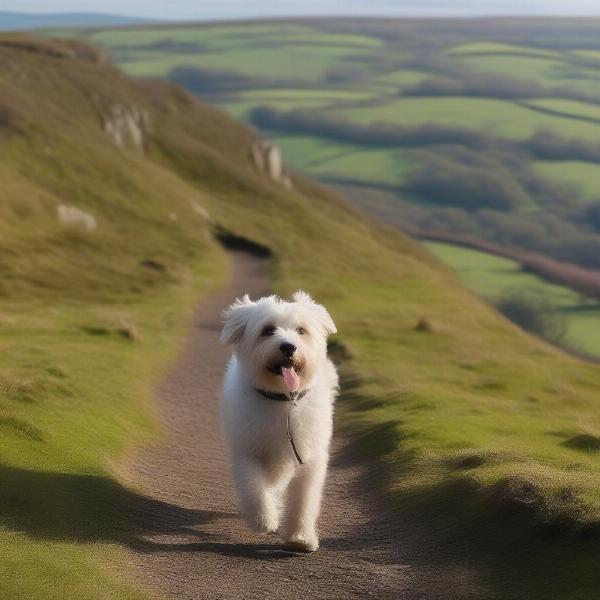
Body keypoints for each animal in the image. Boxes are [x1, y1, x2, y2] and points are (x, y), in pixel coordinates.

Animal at [221, 290, 338, 552]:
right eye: (268, 330)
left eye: (301, 330)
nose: (288, 347)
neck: (284, 401)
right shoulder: (247, 450)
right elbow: (254, 487)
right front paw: (264, 519)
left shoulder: (308, 458)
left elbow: (304, 500)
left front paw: (300, 537)